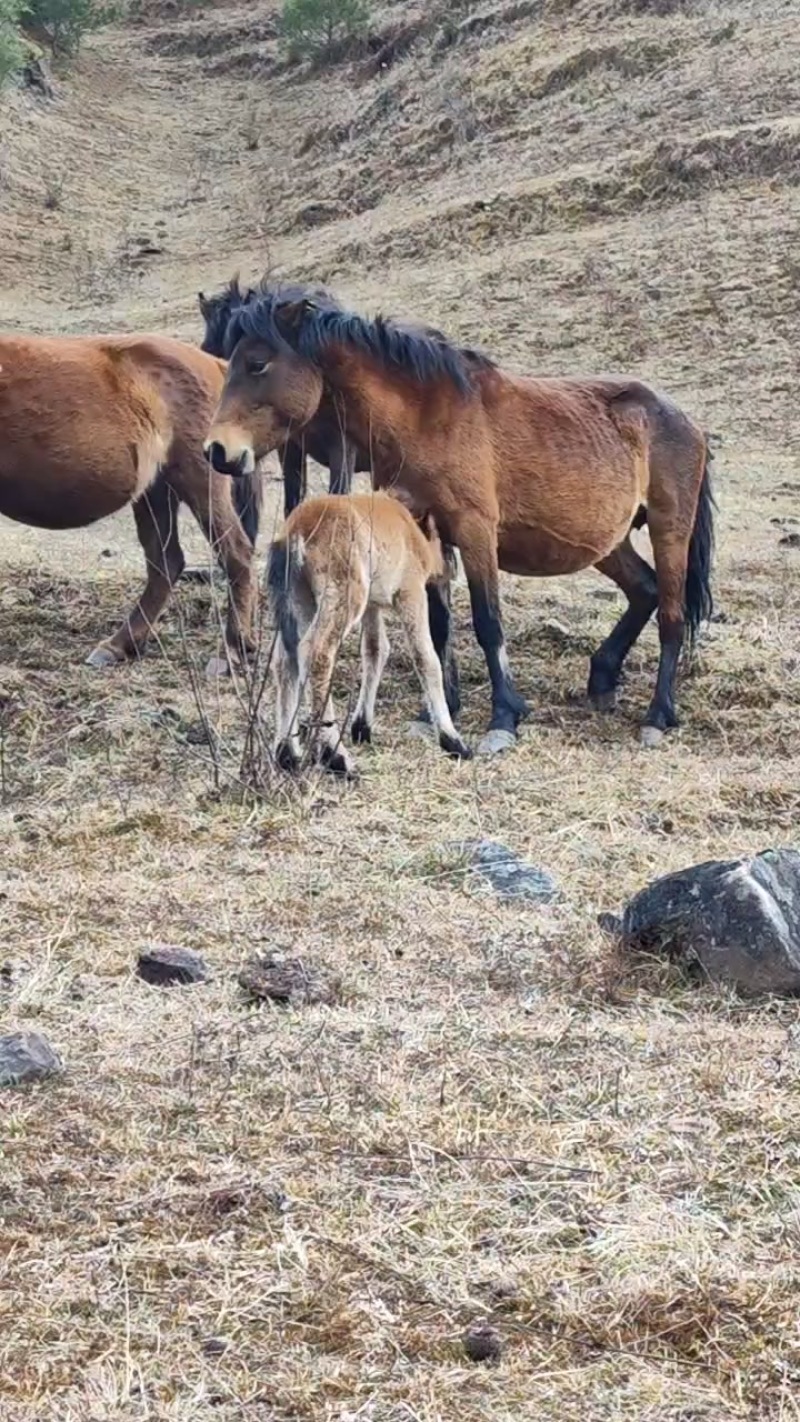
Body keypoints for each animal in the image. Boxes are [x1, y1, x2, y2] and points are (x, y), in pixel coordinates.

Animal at [0, 331, 261, 671]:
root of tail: (217, 366)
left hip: (198, 480)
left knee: (236, 554)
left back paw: (231, 650)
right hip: (156, 491)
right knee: (166, 563)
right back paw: (120, 645)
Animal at [267, 491, 471, 778]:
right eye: (442, 542)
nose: (452, 569)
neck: (409, 529)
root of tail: (295, 530)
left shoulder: (371, 607)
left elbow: (376, 651)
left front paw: (362, 726)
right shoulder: (410, 593)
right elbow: (425, 657)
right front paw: (452, 739)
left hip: (302, 602)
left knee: (286, 660)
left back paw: (287, 754)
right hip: (344, 597)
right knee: (316, 652)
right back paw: (336, 757)